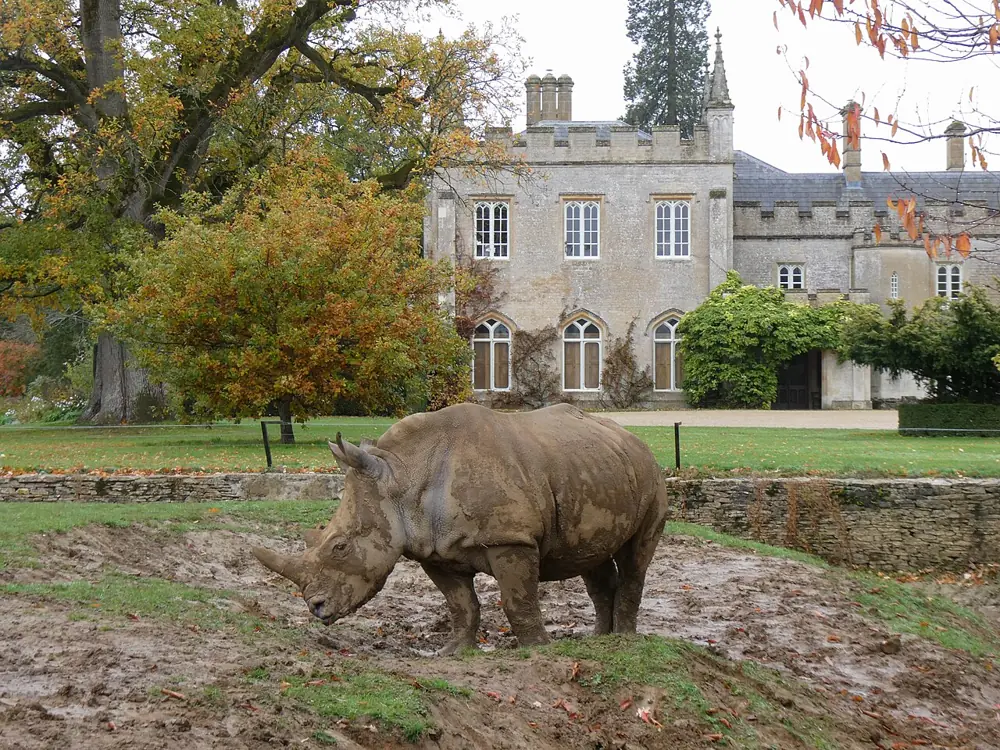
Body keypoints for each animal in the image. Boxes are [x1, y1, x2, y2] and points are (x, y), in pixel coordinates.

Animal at [252, 402, 670, 655]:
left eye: (339, 546)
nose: (316, 608)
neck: (401, 476)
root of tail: (632, 438)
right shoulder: (432, 549)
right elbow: (460, 604)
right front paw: (453, 652)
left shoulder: (510, 540)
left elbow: (518, 600)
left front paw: (537, 649)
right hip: (594, 469)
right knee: (592, 559)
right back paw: (599, 640)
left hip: (650, 473)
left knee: (635, 558)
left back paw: (624, 639)